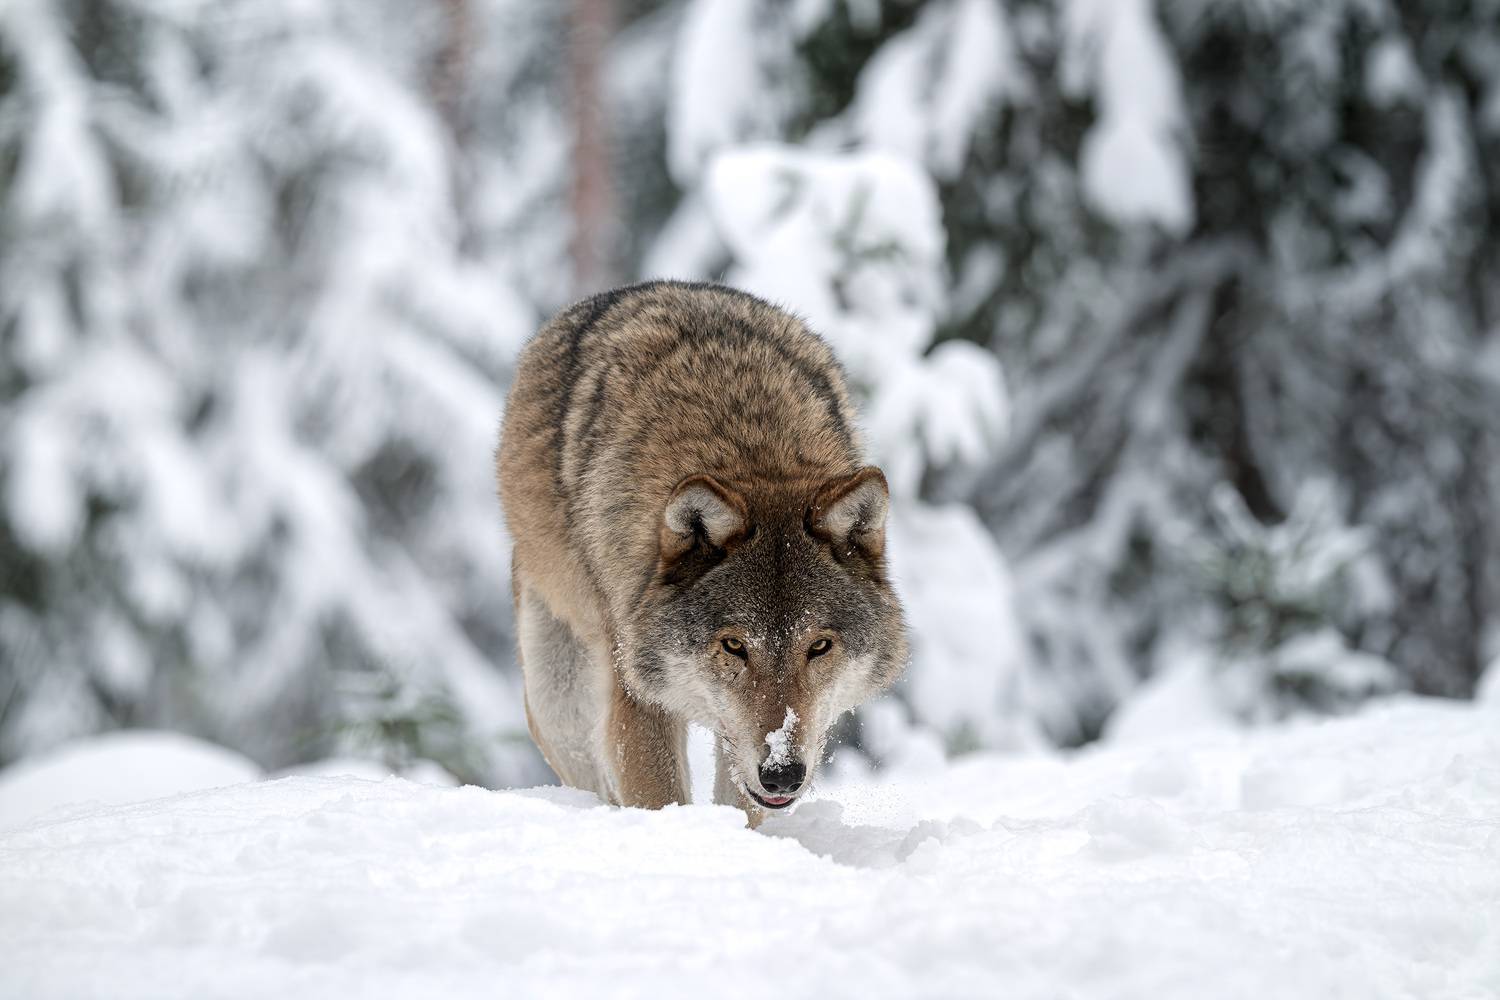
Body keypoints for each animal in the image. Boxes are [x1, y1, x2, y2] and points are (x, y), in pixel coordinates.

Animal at [496, 280, 907, 822]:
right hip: (558, 697)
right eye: (733, 645)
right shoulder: (635, 691)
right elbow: (658, 798)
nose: (782, 772)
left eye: (819, 646)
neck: (751, 450)